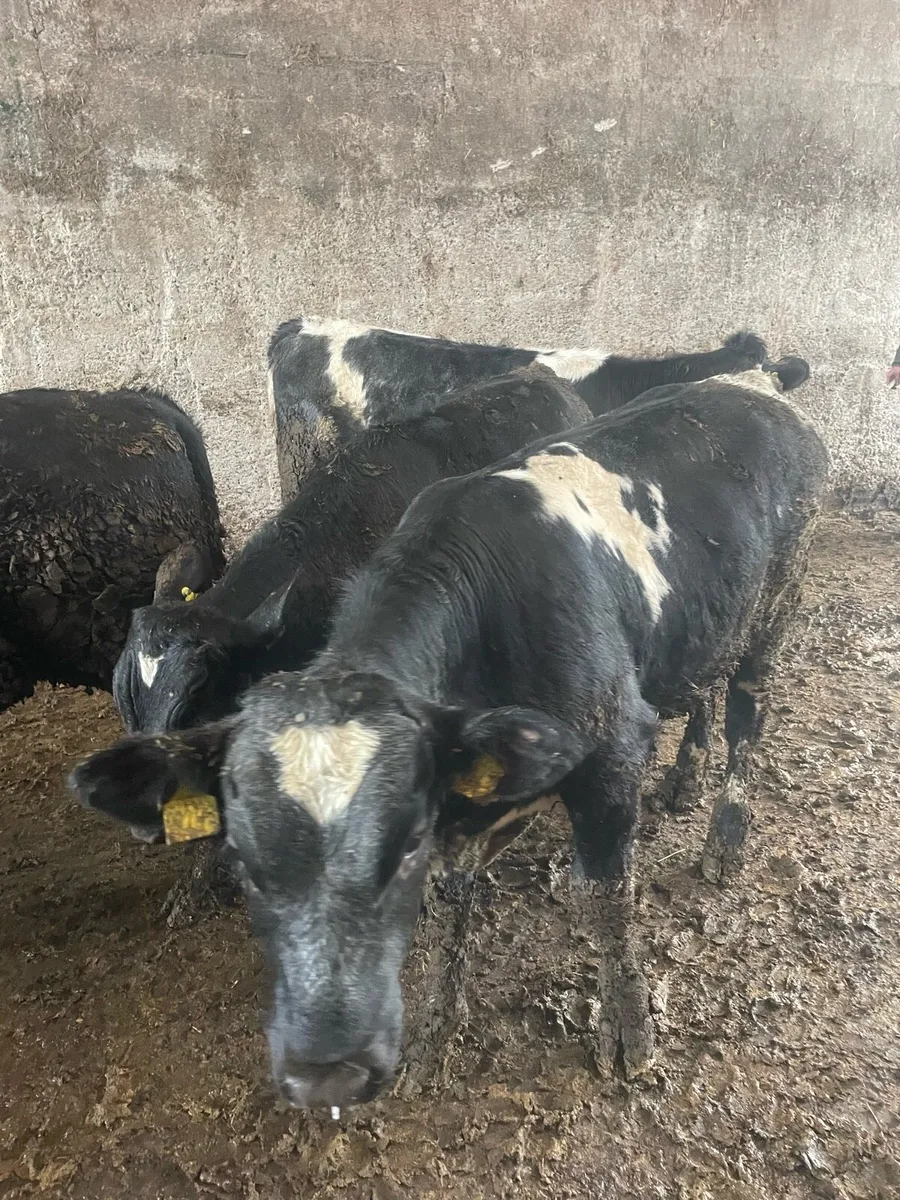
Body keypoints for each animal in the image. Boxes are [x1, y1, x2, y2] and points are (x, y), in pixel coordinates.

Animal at [70, 358, 828, 1110]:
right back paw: (683, 779)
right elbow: (452, 893)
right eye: (122, 698)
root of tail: (755, 381)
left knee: (746, 713)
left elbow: (606, 896)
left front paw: (628, 1025)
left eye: (193, 698)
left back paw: (724, 835)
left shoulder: (613, 748)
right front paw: (437, 1029)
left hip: (778, 606)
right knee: (706, 687)